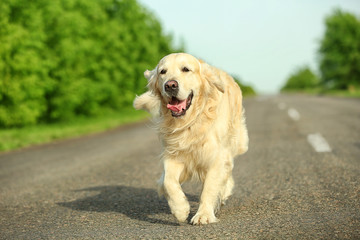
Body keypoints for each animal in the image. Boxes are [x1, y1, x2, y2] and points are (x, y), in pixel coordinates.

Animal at [134, 53, 249, 225]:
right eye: (162, 72)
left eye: (186, 69)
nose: (170, 85)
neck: (191, 122)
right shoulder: (174, 154)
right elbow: (168, 181)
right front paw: (180, 209)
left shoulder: (216, 156)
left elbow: (209, 187)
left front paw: (203, 215)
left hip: (236, 142)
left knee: (228, 170)